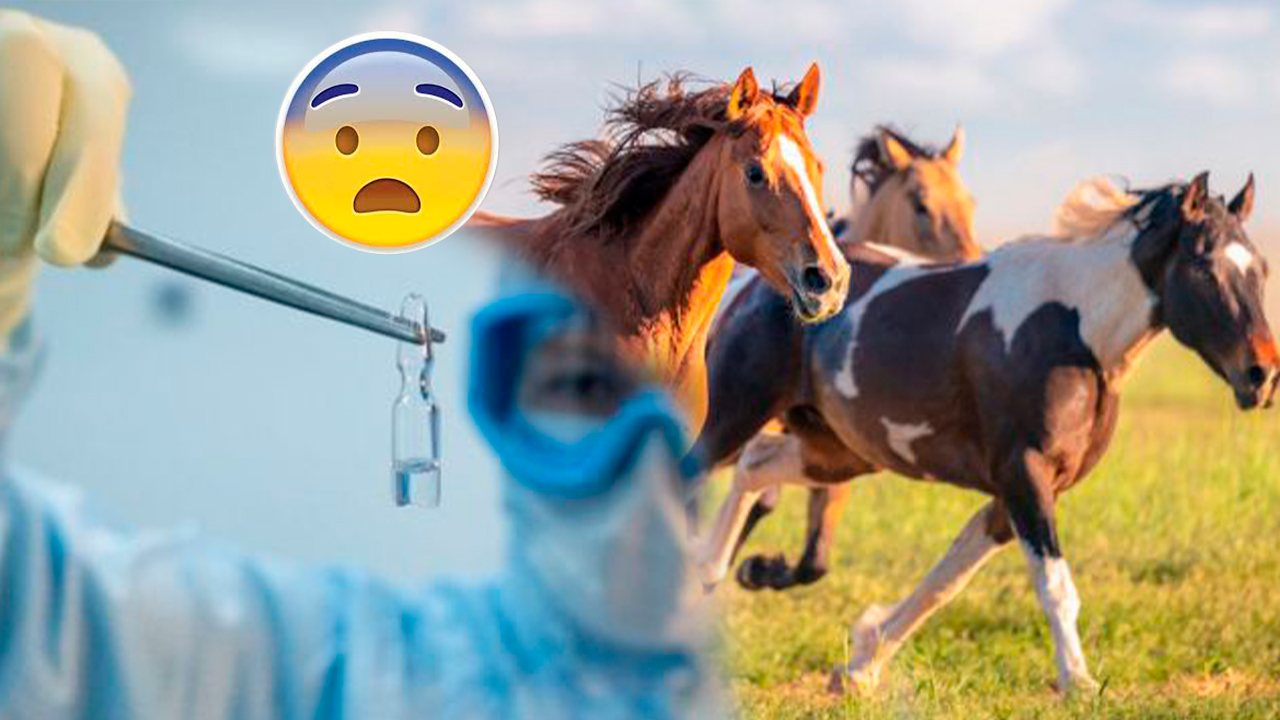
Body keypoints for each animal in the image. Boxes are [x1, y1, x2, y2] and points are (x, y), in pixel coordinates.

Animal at [693, 172, 1276, 694]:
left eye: (1260, 268)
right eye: (1204, 268)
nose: (1262, 375)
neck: (1076, 333)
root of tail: (754, 285)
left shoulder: (1017, 492)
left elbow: (945, 581)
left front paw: (860, 666)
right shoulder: (1024, 475)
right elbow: (1054, 585)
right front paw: (1078, 681)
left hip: (838, 451)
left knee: (754, 469)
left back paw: (717, 573)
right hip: (735, 414)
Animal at [718, 124, 981, 592]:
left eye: (968, 202)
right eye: (921, 205)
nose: (975, 262)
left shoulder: (835, 449)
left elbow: (814, 559)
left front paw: (759, 568)